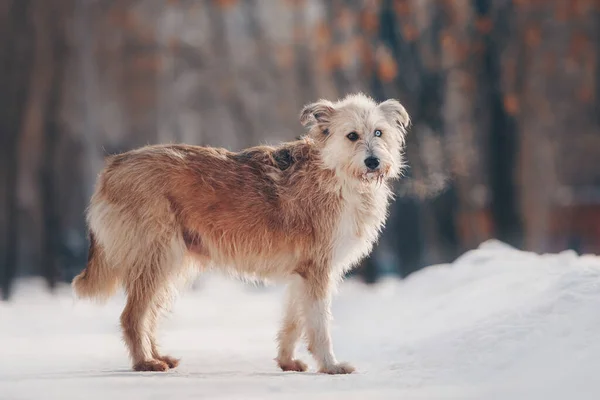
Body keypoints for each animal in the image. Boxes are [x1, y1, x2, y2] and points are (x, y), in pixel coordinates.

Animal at [69, 92, 408, 374]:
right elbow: (319, 325)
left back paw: (157, 356)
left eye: (378, 132)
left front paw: (287, 362)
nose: (373, 161)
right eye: (352, 135)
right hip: (158, 257)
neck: (335, 172)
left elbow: (293, 323)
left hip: (171, 264)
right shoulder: (317, 272)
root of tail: (113, 166)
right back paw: (145, 363)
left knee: (147, 314)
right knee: (132, 316)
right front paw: (330, 366)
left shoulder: (302, 275)